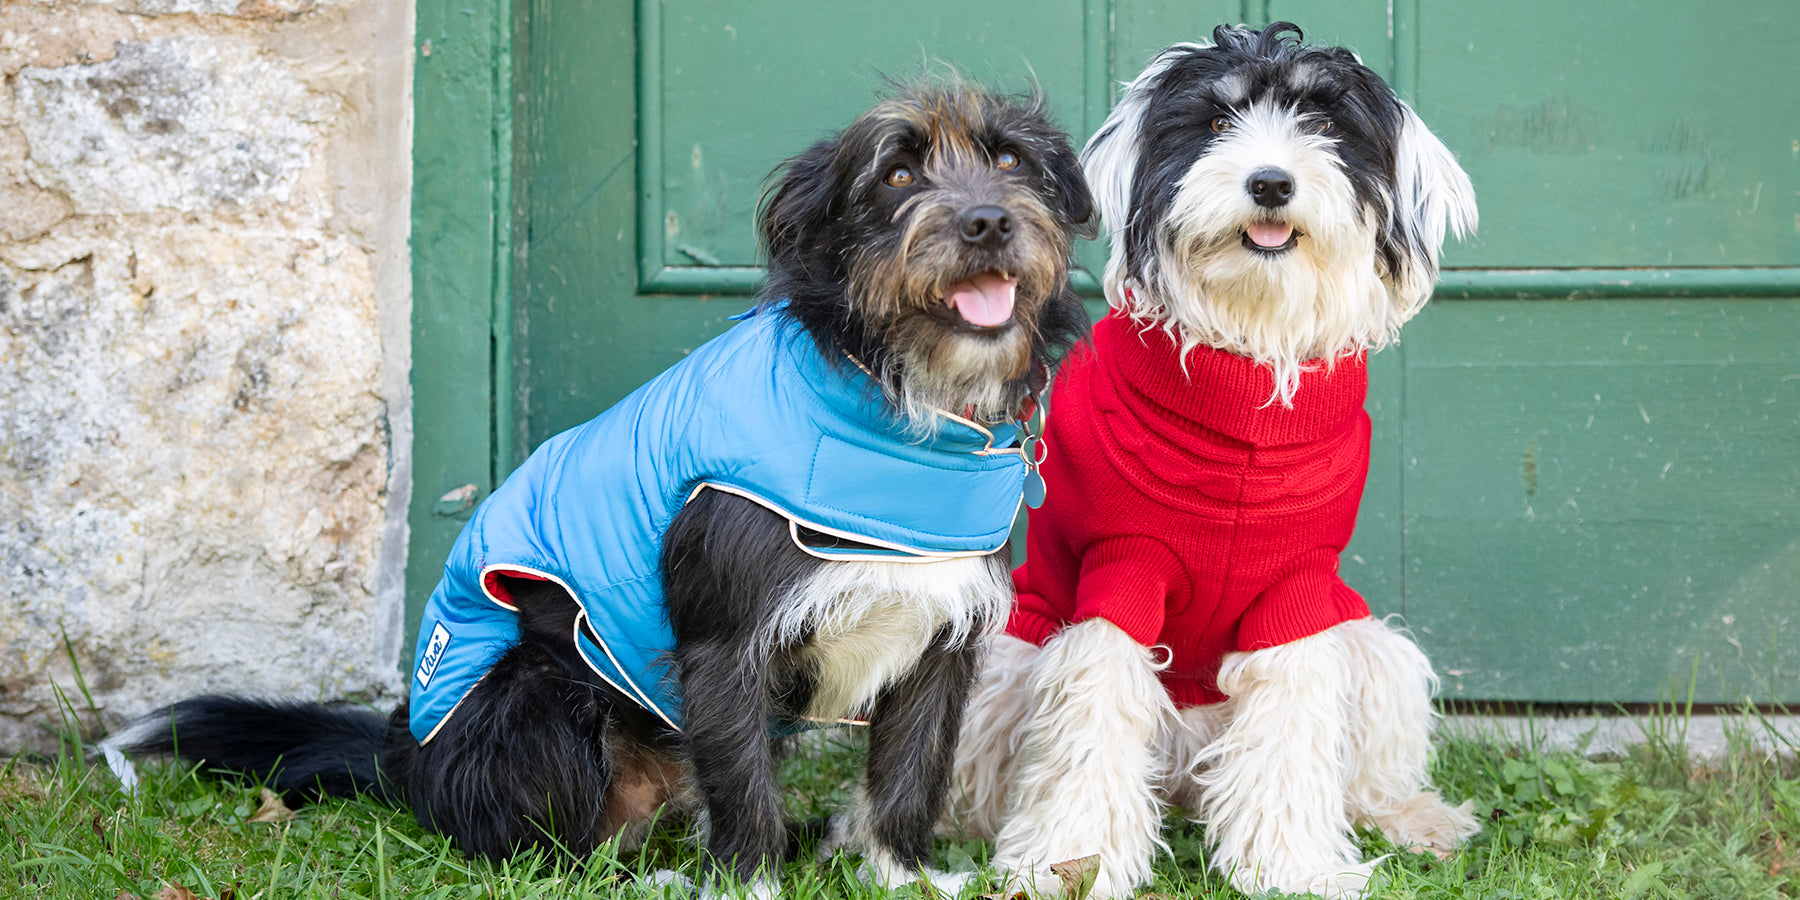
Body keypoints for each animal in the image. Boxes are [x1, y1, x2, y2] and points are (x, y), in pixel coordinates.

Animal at [105, 81, 1087, 896]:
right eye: (895, 173)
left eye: (1011, 161)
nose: (988, 223)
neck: (896, 405)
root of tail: (405, 765)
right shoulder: (724, 645)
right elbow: (743, 790)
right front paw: (748, 886)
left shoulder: (938, 643)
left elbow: (908, 776)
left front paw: (900, 874)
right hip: (544, 696)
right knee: (546, 855)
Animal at [950, 22, 1483, 900]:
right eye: (1214, 122)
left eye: (1322, 121)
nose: (1269, 182)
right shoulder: (1121, 572)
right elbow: (1092, 713)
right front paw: (1071, 861)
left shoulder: (1294, 592)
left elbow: (1293, 730)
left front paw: (1292, 865)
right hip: (1004, 655)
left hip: (1371, 646)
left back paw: (1416, 819)